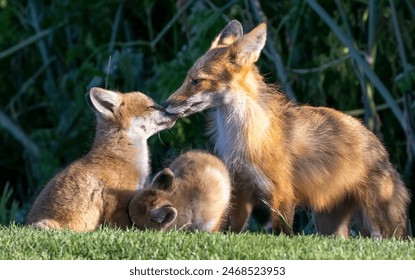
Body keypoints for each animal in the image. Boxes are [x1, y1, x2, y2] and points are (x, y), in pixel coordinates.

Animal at [162, 20, 410, 237]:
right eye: (187, 78)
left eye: (197, 81)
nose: (164, 104)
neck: (241, 137)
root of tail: (382, 150)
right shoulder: (241, 188)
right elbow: (230, 229)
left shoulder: (282, 193)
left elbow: (282, 233)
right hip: (328, 225)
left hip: (382, 225)